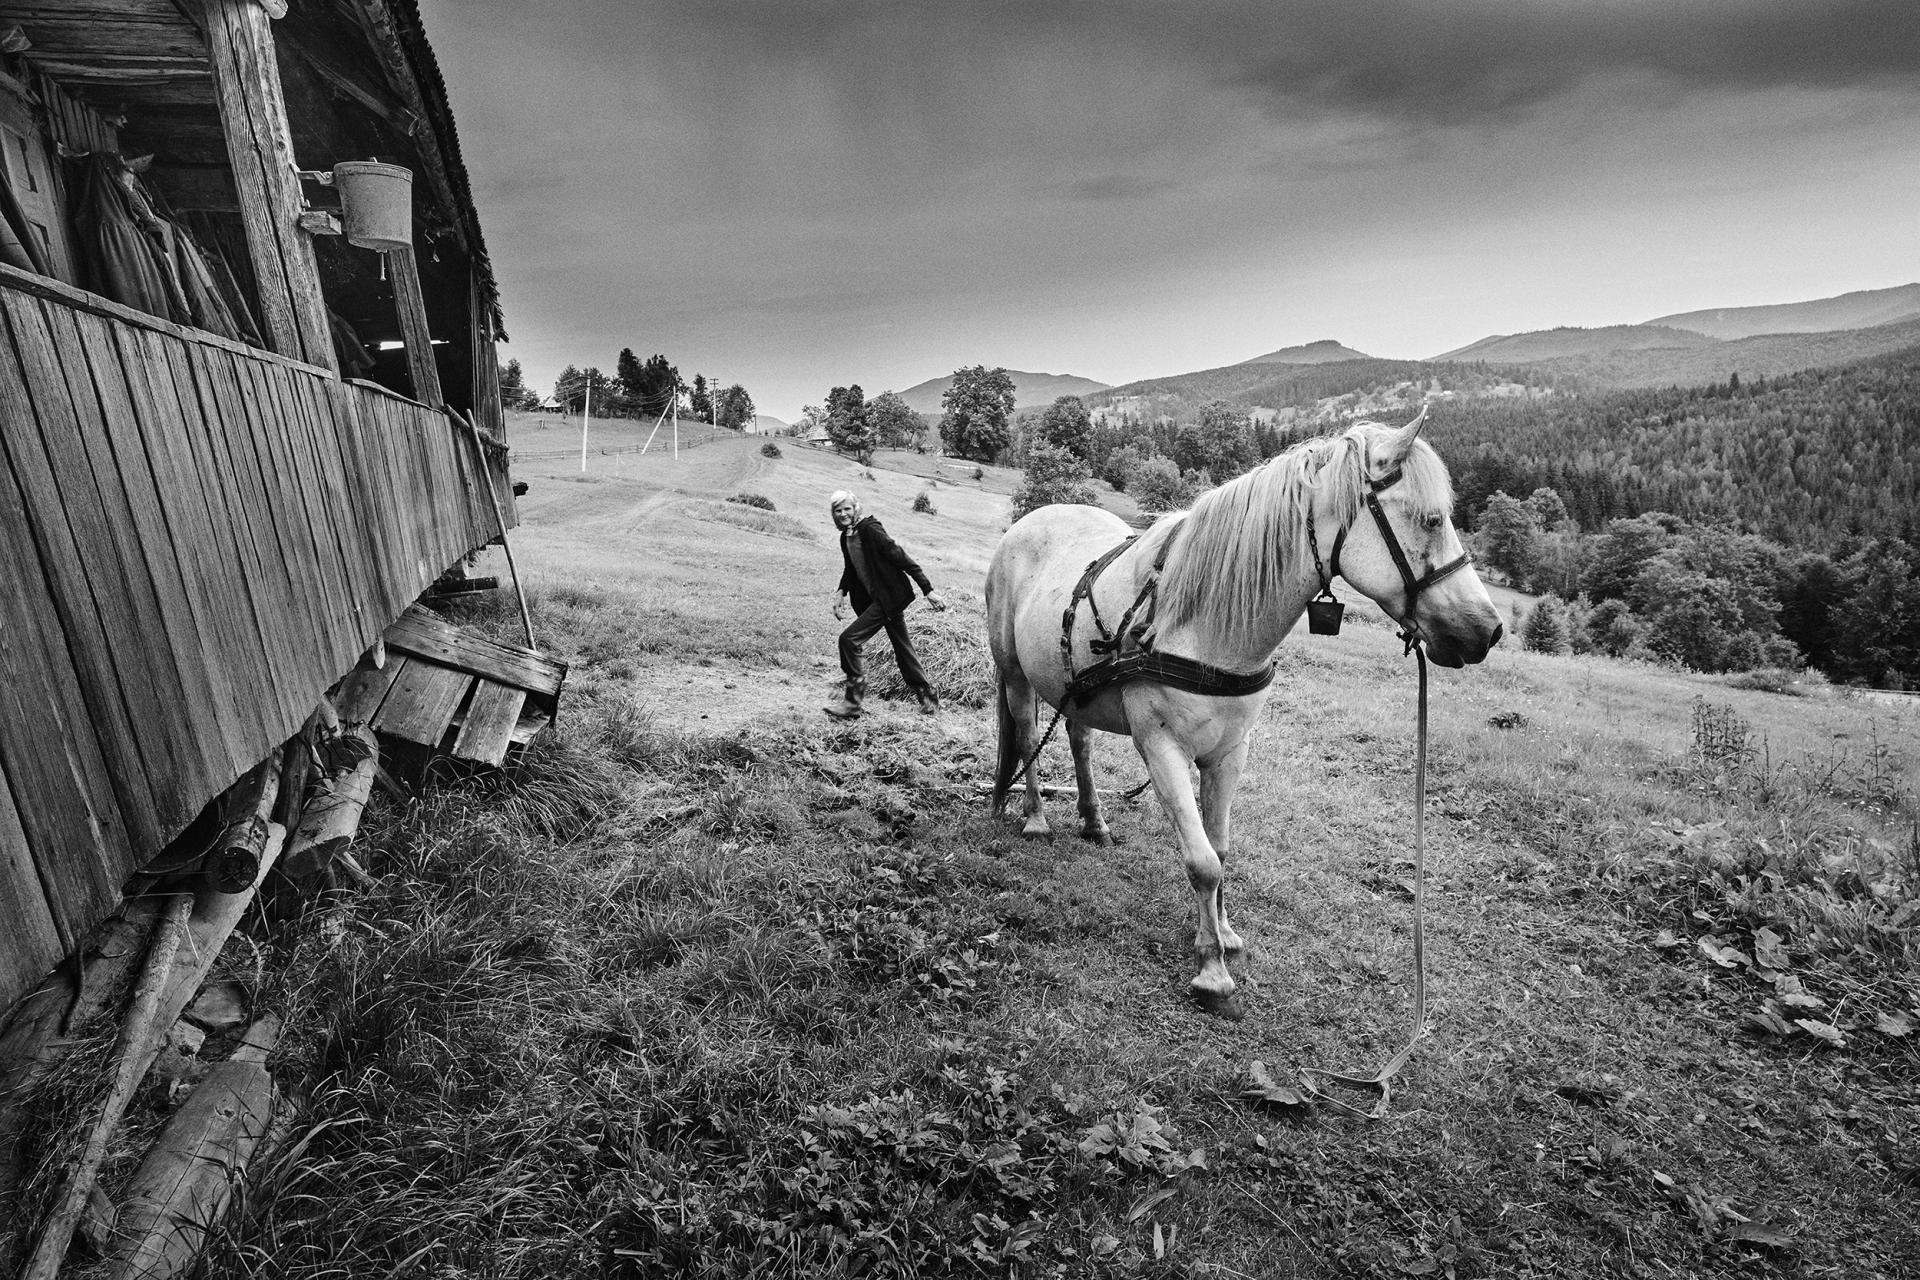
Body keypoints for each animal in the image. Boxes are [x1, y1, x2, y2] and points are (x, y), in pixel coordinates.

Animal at [990, 416, 1497, 1013]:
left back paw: (1093, 820)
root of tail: (1029, 522)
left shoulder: (1231, 752)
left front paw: (1224, 934)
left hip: (1078, 691)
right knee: (1027, 736)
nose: (1488, 629)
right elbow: (1201, 861)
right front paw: (1211, 971)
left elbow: (1221, 849)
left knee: (1079, 739)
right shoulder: (1161, 748)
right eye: (1431, 519)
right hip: (1015, 674)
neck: (1202, 623)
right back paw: (1035, 818)